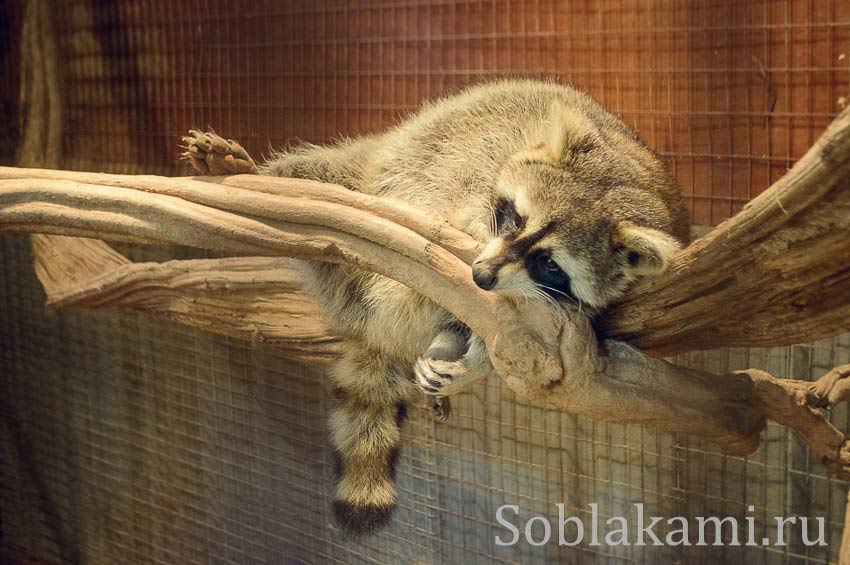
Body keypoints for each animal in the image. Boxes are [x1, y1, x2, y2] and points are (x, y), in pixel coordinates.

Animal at [182, 78, 684, 532]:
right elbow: (457, 208)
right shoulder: (477, 169)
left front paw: (473, 358)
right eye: (515, 218)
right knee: (314, 173)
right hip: (363, 173)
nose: (482, 276)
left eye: (548, 263)